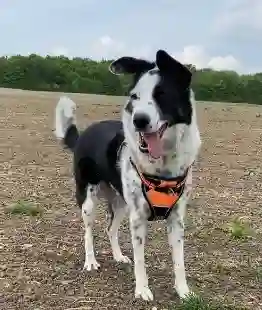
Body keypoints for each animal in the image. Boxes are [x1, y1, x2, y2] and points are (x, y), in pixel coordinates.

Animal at [54, 50, 202, 300]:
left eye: (162, 94)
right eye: (135, 97)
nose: (139, 120)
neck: (162, 164)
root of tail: (83, 134)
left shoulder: (176, 220)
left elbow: (179, 261)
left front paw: (184, 291)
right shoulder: (138, 219)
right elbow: (141, 260)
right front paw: (142, 289)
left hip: (121, 202)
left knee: (110, 228)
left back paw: (118, 256)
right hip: (88, 200)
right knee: (88, 232)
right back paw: (90, 261)